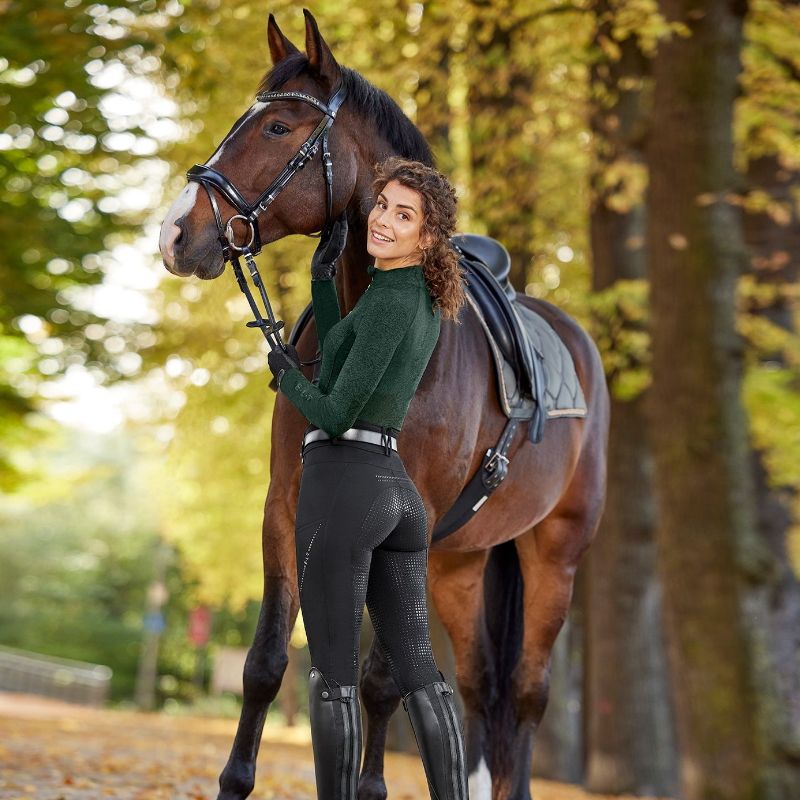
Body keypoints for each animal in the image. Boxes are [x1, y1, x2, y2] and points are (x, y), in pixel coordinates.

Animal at [159, 9, 608, 796]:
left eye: (278, 127)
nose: (177, 234)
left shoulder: (411, 525)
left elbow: (379, 682)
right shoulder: (287, 503)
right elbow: (267, 662)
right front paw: (235, 780)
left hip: (553, 556)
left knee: (524, 698)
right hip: (459, 565)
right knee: (477, 686)